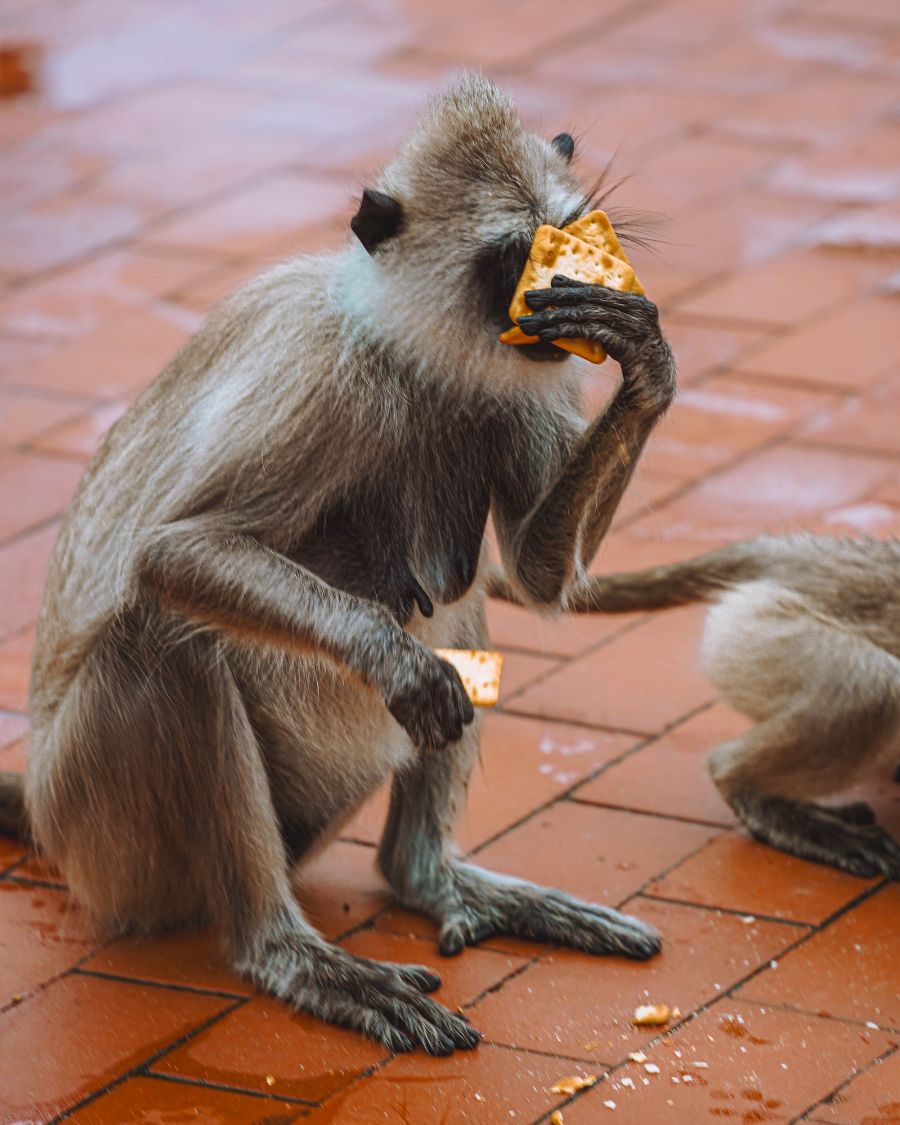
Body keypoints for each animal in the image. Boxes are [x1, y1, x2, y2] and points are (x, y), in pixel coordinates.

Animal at [0, 77, 675, 1053]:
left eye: (566, 240)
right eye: (511, 259)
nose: (563, 292)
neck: (413, 353)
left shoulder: (527, 376)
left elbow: (539, 579)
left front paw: (646, 361)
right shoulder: (327, 378)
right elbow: (173, 553)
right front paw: (395, 661)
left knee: (460, 607)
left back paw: (424, 873)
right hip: (104, 837)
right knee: (160, 632)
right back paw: (285, 949)